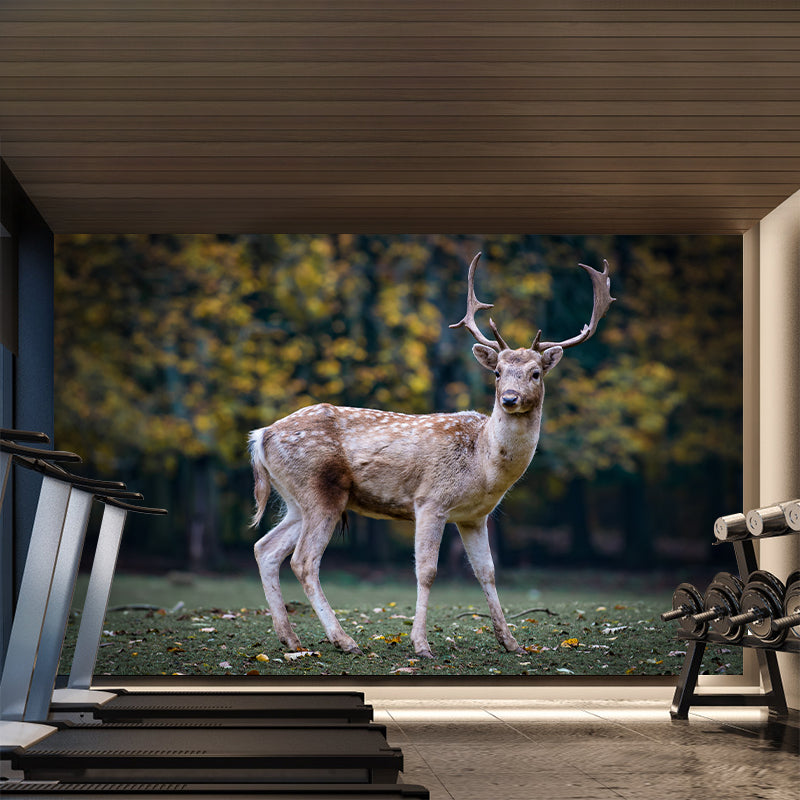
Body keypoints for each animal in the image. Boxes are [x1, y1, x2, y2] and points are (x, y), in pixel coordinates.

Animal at [249, 253, 614, 658]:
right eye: (498, 372)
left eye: (535, 373)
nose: (509, 398)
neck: (483, 465)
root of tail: (261, 436)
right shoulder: (430, 501)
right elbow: (427, 571)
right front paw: (421, 644)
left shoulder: (474, 517)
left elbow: (487, 572)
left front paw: (512, 642)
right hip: (320, 490)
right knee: (303, 561)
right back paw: (344, 640)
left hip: (296, 499)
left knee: (265, 548)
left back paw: (290, 638)